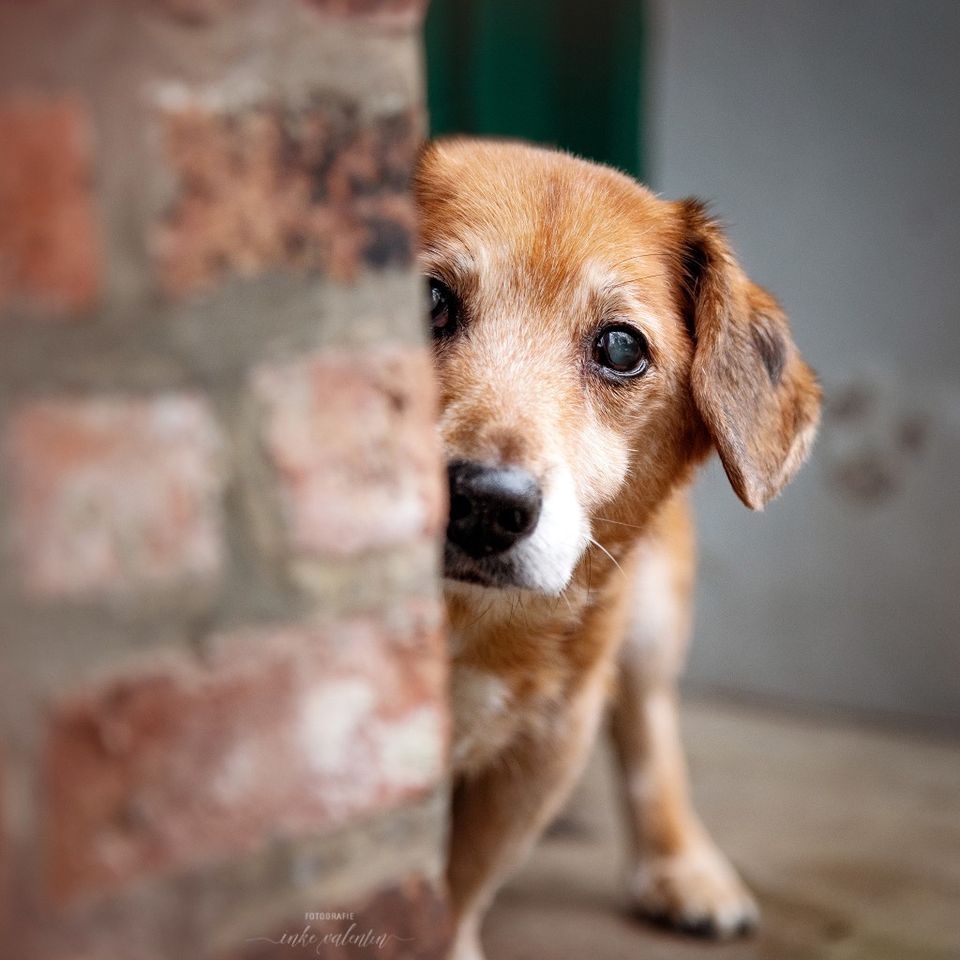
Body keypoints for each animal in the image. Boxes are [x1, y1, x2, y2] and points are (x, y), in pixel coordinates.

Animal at [410, 137, 816, 960]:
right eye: (426, 299)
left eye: (621, 348)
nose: (485, 505)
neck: (464, 622)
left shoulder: (550, 738)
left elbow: (462, 884)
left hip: (651, 616)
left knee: (649, 727)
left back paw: (684, 867)